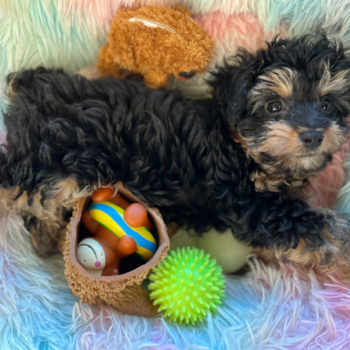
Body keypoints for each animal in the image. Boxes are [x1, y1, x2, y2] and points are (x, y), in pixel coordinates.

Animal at [2, 36, 350, 274]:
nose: (313, 135)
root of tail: (33, 87)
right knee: (19, 183)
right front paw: (343, 252)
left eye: (327, 105)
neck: (240, 146)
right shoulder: (250, 204)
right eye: (274, 106)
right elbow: (316, 226)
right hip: (66, 160)